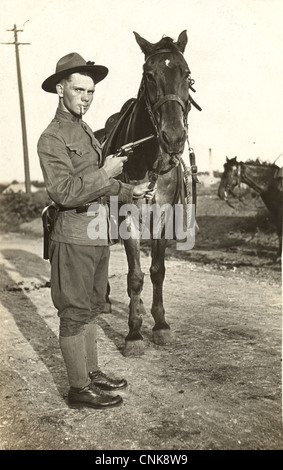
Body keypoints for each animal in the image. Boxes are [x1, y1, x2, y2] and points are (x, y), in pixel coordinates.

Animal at [100, 30, 202, 356]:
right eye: (149, 74)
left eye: (187, 74)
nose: (174, 137)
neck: (149, 158)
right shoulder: (127, 217)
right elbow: (134, 275)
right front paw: (134, 333)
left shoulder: (164, 215)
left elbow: (157, 271)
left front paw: (160, 325)